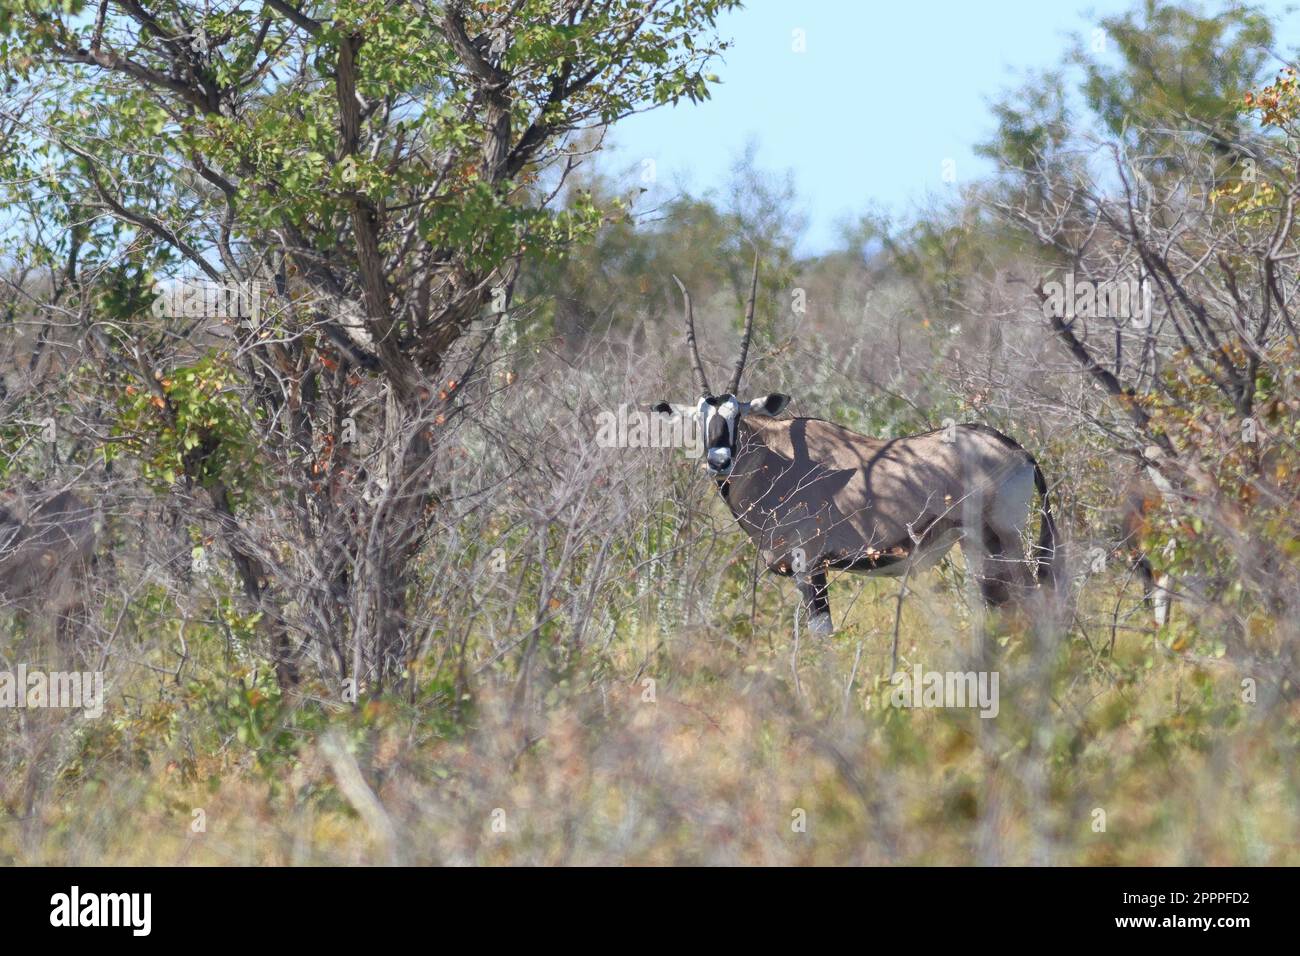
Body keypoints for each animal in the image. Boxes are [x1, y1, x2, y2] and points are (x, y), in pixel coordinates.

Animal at [655, 261, 1060, 634]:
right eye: (700, 419)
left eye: (736, 415)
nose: (719, 461)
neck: (774, 461)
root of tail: (1018, 451)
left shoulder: (810, 567)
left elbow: (822, 636)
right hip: (976, 544)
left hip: (1001, 539)